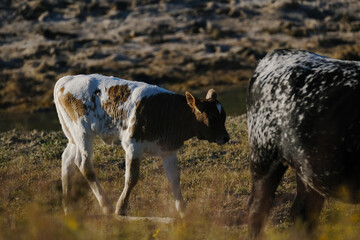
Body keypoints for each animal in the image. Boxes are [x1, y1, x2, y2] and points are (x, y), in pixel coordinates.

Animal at [53, 74, 229, 217]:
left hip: (73, 135)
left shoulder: (168, 150)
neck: (166, 112)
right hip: (82, 131)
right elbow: (132, 178)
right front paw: (121, 208)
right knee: (84, 164)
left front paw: (183, 211)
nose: (226, 137)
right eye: (213, 118)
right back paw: (106, 206)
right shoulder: (133, 145)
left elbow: (174, 179)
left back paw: (68, 206)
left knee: (67, 159)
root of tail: (65, 80)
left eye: (224, 116)